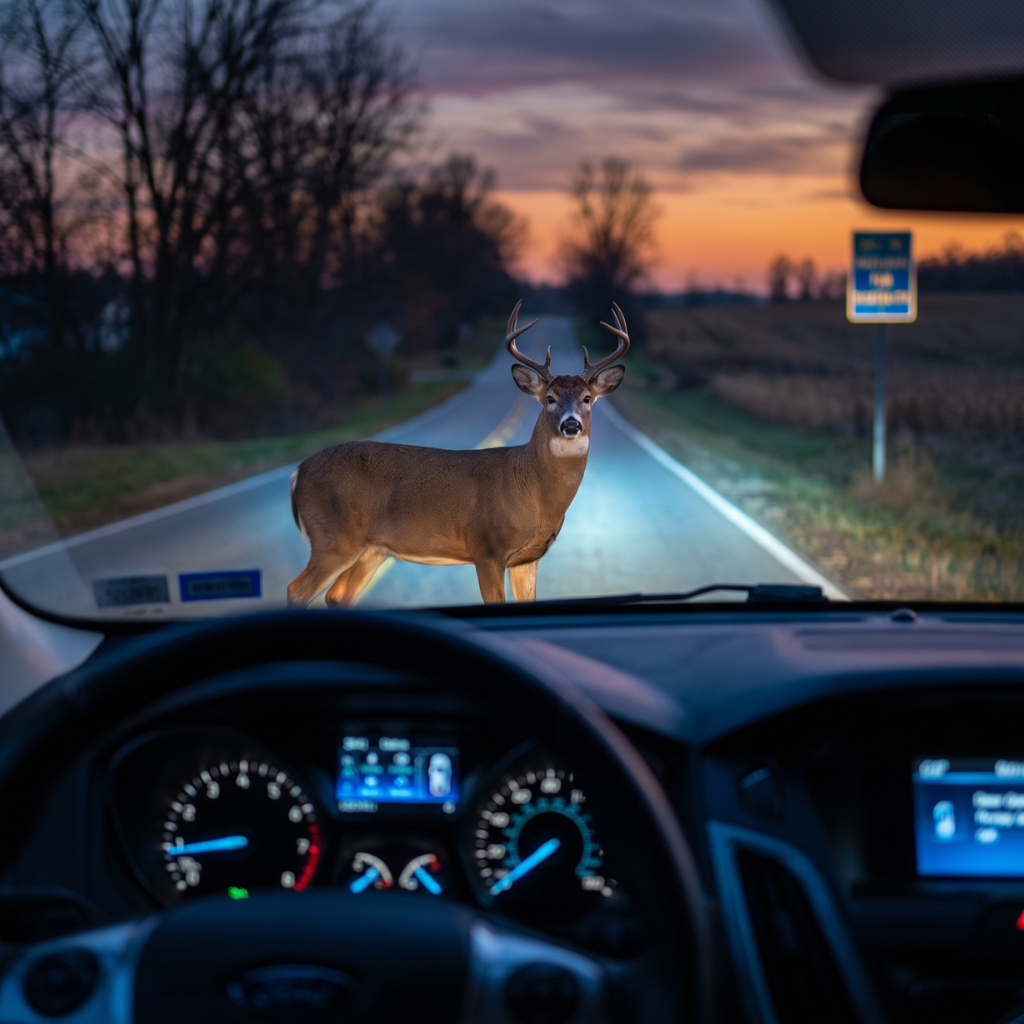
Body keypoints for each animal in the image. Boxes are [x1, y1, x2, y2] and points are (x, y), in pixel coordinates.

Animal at [286, 301, 629, 607]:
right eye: (550, 398)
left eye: (587, 398)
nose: (570, 425)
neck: (533, 491)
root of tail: (298, 472)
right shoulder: (487, 550)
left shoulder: (526, 558)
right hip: (334, 538)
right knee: (297, 590)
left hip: (372, 550)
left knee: (337, 596)